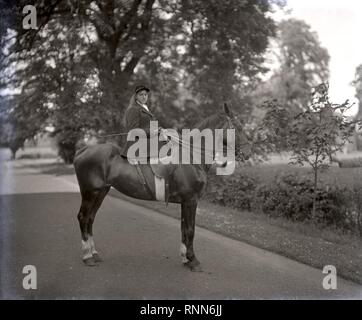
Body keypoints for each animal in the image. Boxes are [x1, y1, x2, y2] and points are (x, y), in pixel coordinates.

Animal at [72, 102, 250, 270]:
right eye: (237, 128)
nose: (247, 153)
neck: (191, 157)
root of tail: (84, 150)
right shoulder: (191, 200)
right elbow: (190, 230)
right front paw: (193, 260)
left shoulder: (185, 202)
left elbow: (184, 229)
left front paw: (185, 259)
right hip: (90, 192)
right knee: (83, 217)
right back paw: (87, 256)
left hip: (101, 192)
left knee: (90, 218)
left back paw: (94, 254)